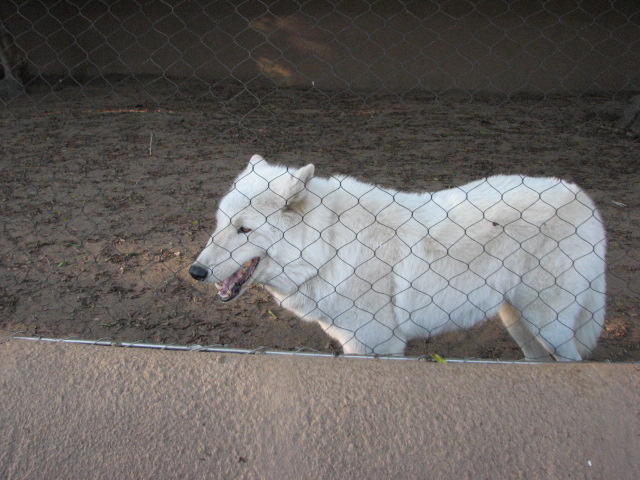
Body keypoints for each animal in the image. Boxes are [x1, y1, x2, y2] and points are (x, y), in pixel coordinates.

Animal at [189, 155, 607, 360]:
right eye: (221, 223)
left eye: (244, 230)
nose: (195, 271)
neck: (331, 246)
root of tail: (583, 196)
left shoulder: (379, 345)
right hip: (520, 323)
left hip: (548, 323)